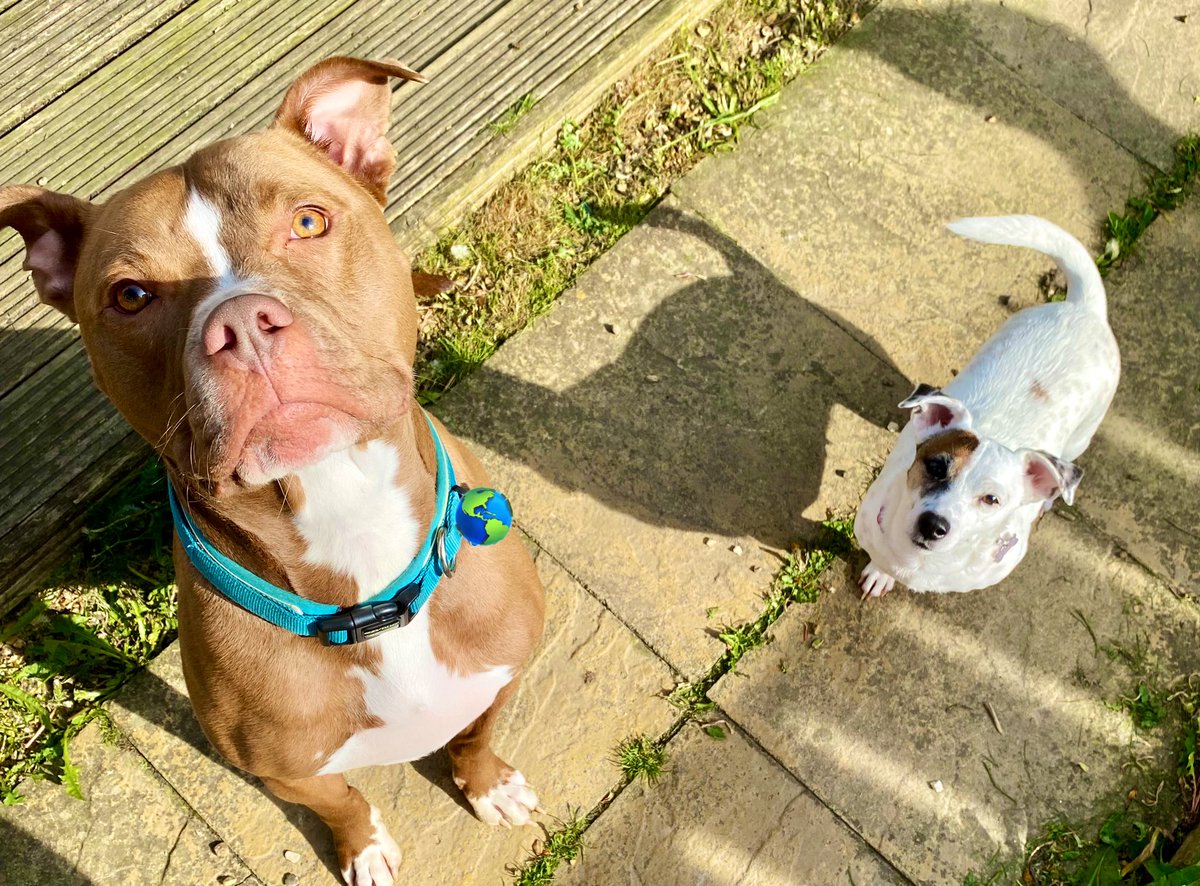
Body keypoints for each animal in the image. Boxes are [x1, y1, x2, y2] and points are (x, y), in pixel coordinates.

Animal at [0, 58, 544, 878]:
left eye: (310, 222)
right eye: (131, 295)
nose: (241, 326)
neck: (348, 524)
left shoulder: (504, 673)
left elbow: (476, 733)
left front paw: (486, 784)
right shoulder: (282, 770)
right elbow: (341, 799)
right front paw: (365, 847)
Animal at [854, 213, 1113, 593]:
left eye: (992, 499)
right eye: (936, 466)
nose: (933, 525)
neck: (917, 563)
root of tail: (1084, 307)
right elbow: (881, 559)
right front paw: (880, 572)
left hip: (1082, 436)